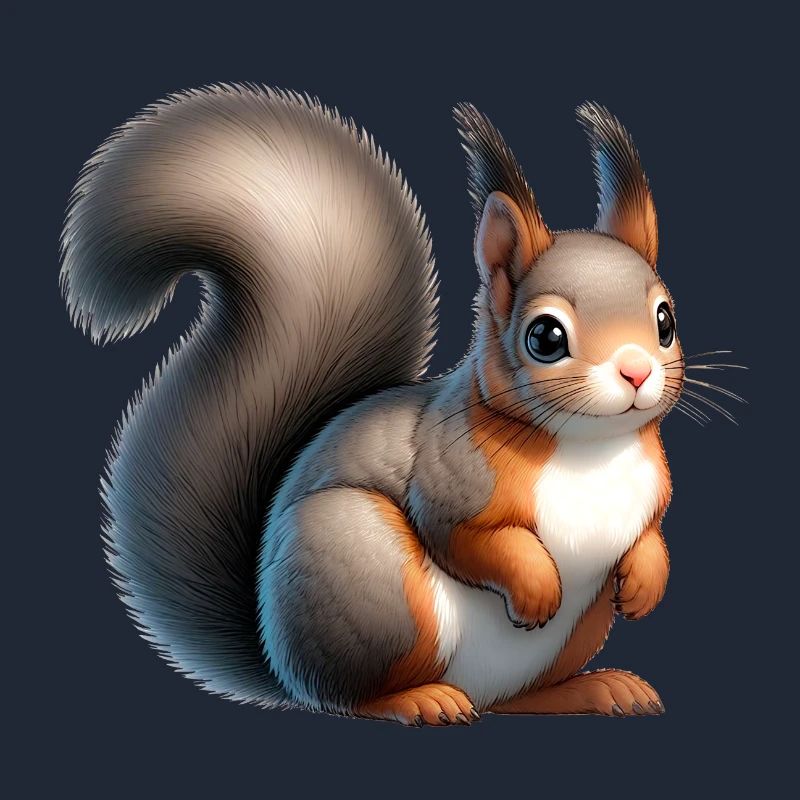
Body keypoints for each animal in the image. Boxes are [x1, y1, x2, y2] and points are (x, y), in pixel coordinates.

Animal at [61, 85, 681, 725]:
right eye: (546, 337)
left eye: (665, 320)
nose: (636, 370)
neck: (591, 448)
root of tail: (281, 665)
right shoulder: (450, 477)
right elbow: (468, 538)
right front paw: (535, 588)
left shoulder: (652, 487)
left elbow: (650, 532)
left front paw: (646, 580)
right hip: (369, 571)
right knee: (354, 696)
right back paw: (422, 700)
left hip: (574, 633)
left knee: (521, 698)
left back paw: (598, 689)